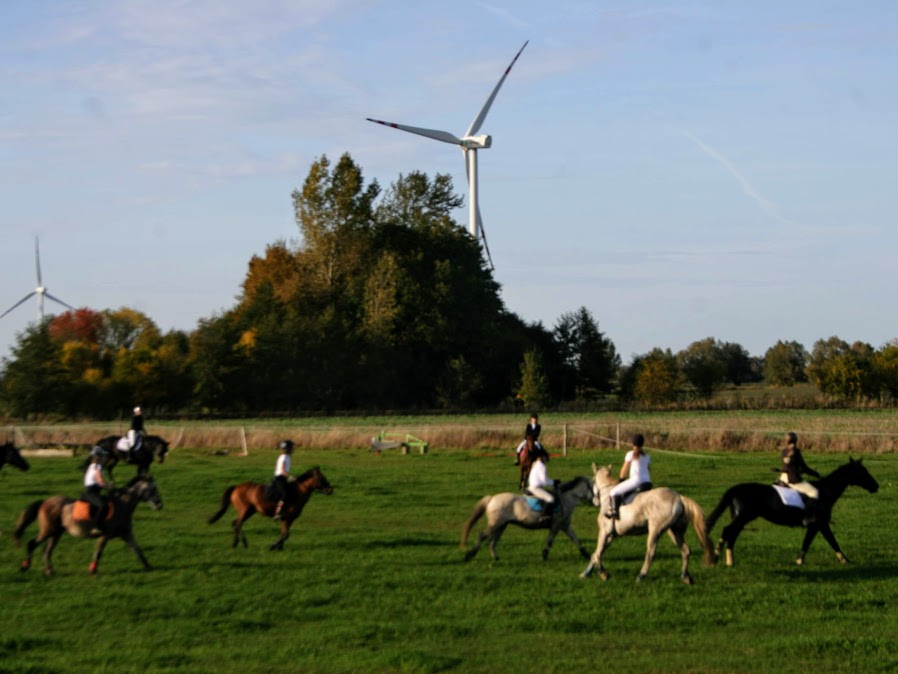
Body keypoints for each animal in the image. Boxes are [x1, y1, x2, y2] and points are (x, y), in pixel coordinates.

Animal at [12, 472, 163, 572]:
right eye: (153, 489)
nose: (159, 505)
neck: (121, 505)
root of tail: (44, 502)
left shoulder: (127, 534)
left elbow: (137, 550)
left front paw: (149, 567)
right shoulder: (105, 535)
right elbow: (98, 552)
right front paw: (92, 569)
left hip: (56, 533)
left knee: (46, 551)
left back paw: (49, 570)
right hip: (48, 530)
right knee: (32, 544)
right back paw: (25, 566)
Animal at [462, 472, 596, 560]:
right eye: (593, 488)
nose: (597, 502)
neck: (565, 499)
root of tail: (492, 498)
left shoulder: (565, 526)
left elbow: (576, 540)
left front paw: (587, 555)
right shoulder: (555, 525)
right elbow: (550, 541)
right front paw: (544, 556)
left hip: (502, 525)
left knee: (493, 541)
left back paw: (496, 558)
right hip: (495, 524)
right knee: (483, 536)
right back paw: (469, 555)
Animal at [580, 462, 712, 584]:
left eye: (592, 480)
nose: (594, 501)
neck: (607, 495)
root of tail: (679, 497)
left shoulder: (604, 532)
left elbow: (597, 554)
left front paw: (603, 573)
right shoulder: (611, 535)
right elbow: (596, 554)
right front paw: (585, 573)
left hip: (655, 529)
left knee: (651, 552)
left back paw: (641, 576)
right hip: (674, 531)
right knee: (685, 550)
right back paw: (685, 577)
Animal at [708, 456, 876, 568]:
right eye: (862, 471)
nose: (876, 486)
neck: (825, 491)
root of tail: (735, 489)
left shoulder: (819, 524)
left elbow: (821, 540)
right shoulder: (818, 523)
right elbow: (824, 541)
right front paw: (843, 560)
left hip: (741, 518)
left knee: (732, 534)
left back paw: (730, 561)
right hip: (743, 517)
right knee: (727, 530)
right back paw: (715, 556)